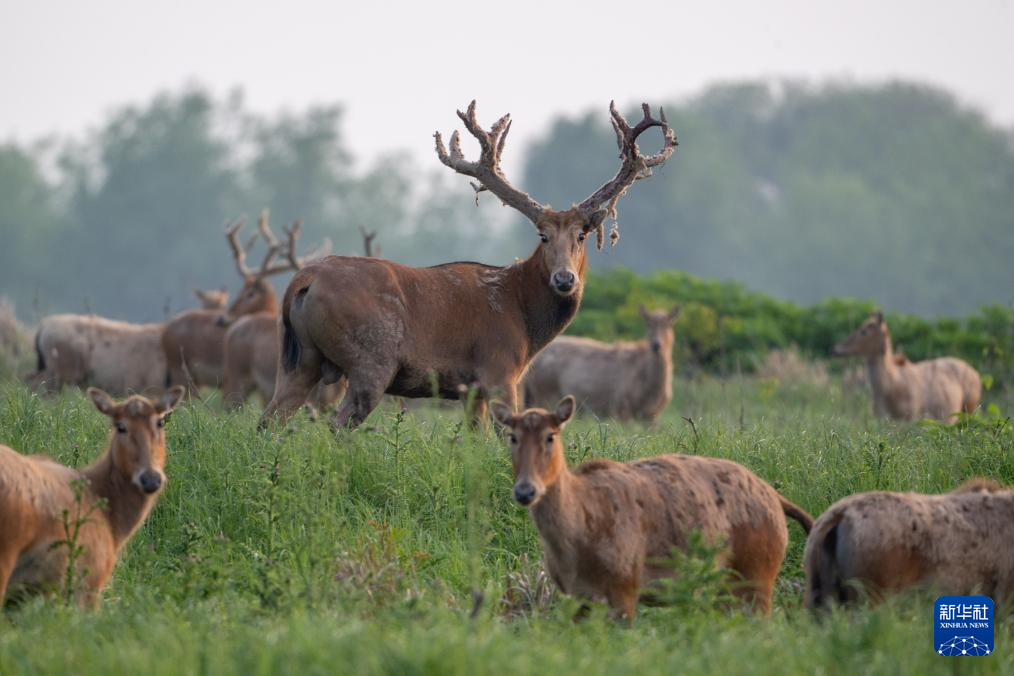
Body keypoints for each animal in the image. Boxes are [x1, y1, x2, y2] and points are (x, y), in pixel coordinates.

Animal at [491, 396, 813, 622]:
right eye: (513, 436)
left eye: (550, 435)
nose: (525, 490)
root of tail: (777, 499)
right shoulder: (574, 596)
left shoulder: (626, 586)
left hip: (759, 574)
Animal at [523, 305, 680, 423]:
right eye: (648, 324)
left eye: (669, 324)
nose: (656, 345)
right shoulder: (622, 409)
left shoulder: (652, 416)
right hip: (544, 396)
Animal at [832, 312, 981, 423]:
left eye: (863, 331)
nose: (836, 349)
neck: (890, 384)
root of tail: (975, 374)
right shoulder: (883, 419)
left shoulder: (911, 417)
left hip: (968, 410)